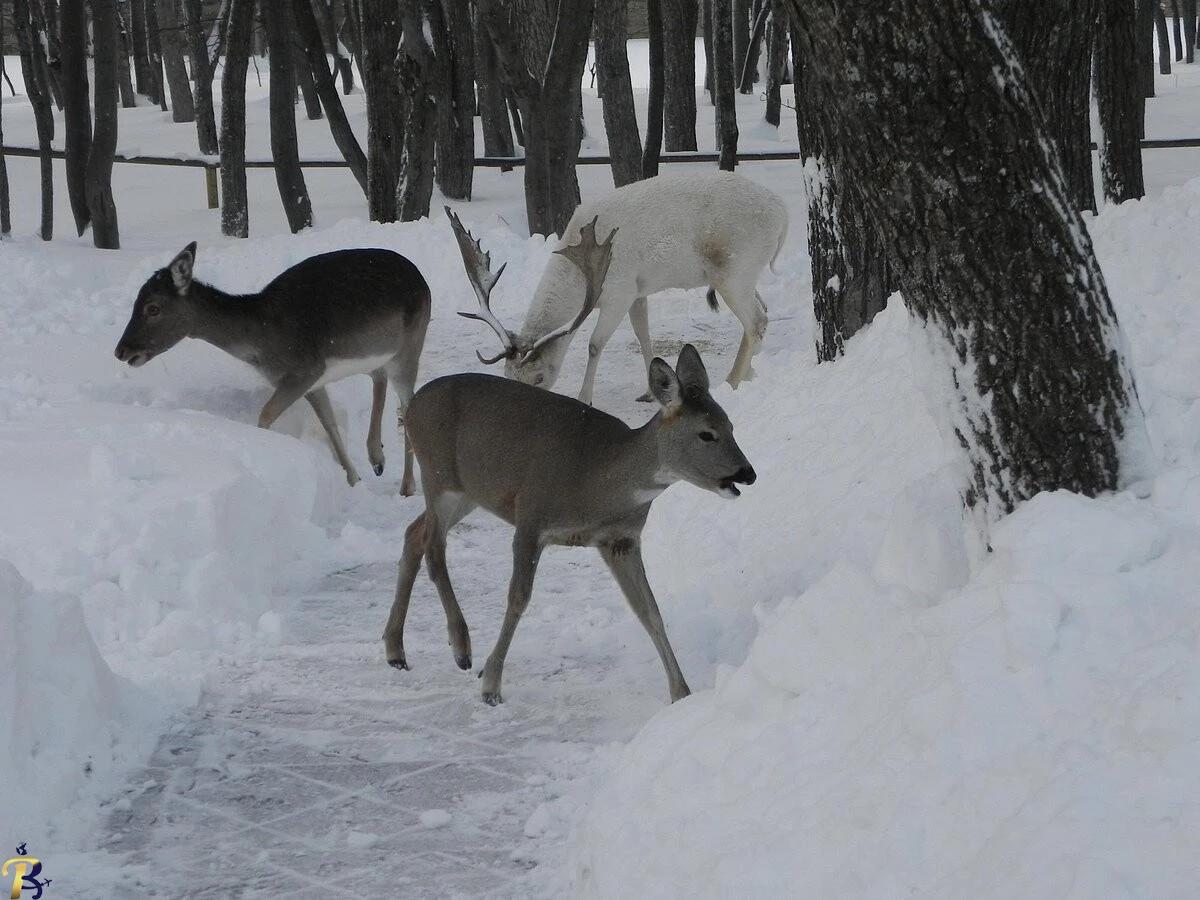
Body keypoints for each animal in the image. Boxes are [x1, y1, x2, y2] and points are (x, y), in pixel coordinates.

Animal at [113, 243, 432, 489]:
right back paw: (376, 457)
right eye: (135, 302)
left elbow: (265, 415)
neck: (263, 343)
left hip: (411, 347)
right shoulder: (312, 381)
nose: (121, 350)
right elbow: (329, 423)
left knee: (408, 404)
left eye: (153, 308)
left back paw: (407, 485)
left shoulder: (306, 370)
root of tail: (420, 276)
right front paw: (353, 480)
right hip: (382, 353)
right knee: (378, 376)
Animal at [384, 210, 753, 705]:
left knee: (413, 533)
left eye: (731, 424)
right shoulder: (531, 515)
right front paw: (491, 682)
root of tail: (412, 407)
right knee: (434, 547)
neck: (600, 480)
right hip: (439, 473)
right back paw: (461, 648)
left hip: (469, 491)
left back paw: (395, 650)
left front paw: (682, 693)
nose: (747, 472)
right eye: (706, 433)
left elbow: (650, 612)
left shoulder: (620, 539)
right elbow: (518, 599)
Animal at [458, 168, 787, 405]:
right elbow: (643, 335)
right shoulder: (637, 292)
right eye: (508, 375)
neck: (581, 279)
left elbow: (594, 345)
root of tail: (783, 215)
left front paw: (585, 397)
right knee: (762, 313)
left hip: (733, 271)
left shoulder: (619, 291)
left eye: (539, 377)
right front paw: (650, 391)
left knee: (756, 320)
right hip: (745, 275)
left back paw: (732, 382)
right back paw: (751, 374)